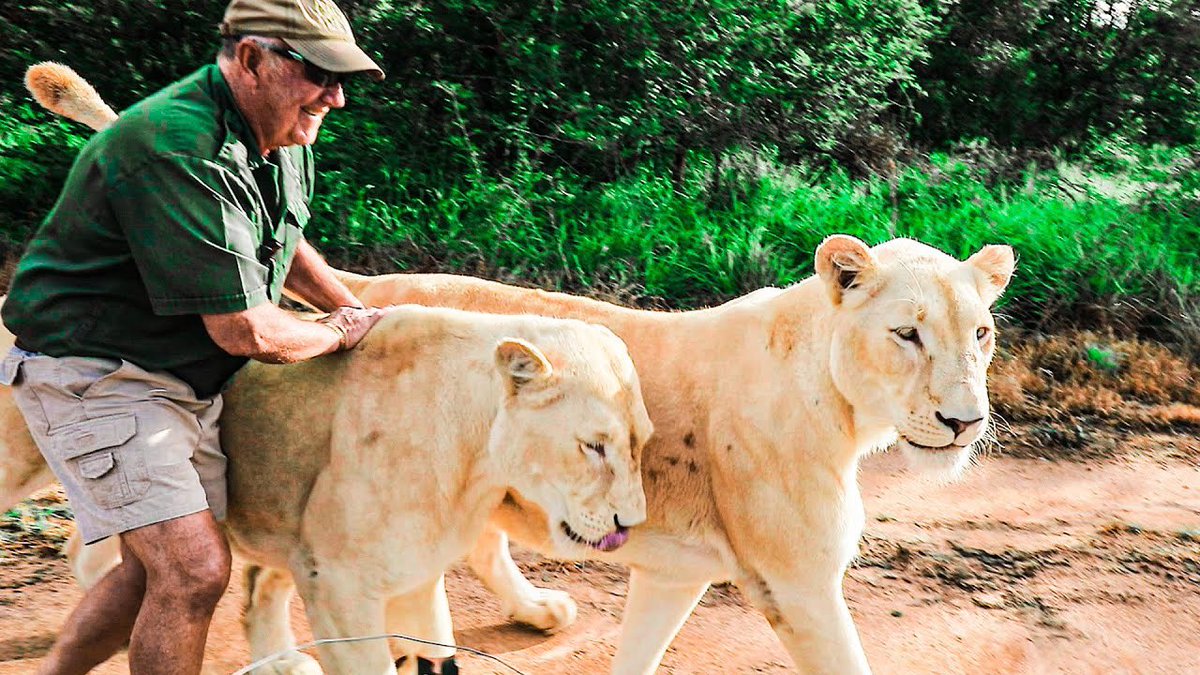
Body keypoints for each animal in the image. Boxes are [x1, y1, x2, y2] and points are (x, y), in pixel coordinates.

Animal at [20, 63, 1014, 673]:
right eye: (908, 334)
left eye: (981, 334)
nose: (965, 422)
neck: (840, 410)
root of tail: (347, 283)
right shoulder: (799, 586)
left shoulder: (674, 573)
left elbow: (639, 653)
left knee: (286, 572)